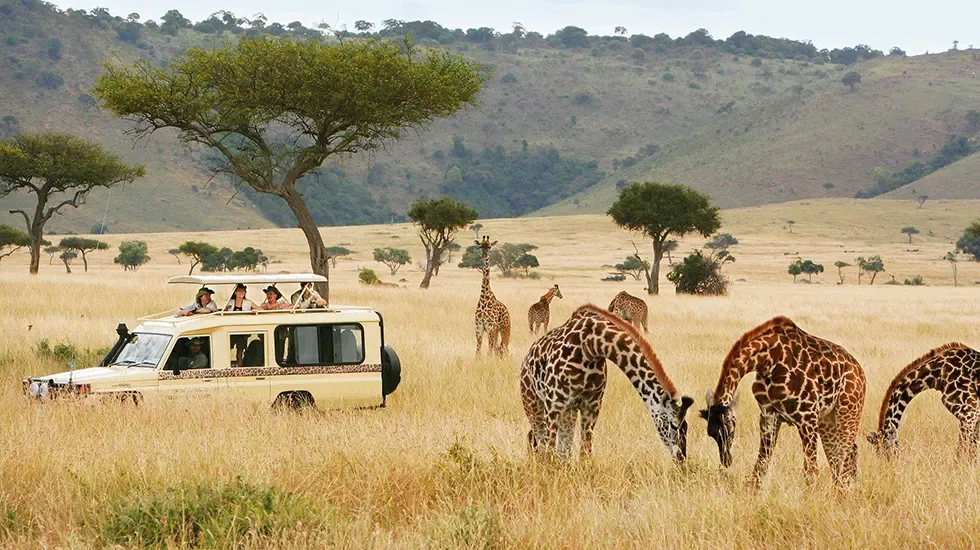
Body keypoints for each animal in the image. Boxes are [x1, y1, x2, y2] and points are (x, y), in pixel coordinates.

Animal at [521, 304, 694, 462]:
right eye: (673, 424)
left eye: (686, 426)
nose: (681, 458)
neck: (591, 345)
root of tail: (526, 359)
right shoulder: (554, 404)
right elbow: (549, 452)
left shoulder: (591, 406)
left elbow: (585, 454)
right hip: (533, 403)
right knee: (540, 443)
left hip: (569, 411)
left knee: (563, 450)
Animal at [700, 316, 866, 490]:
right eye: (711, 434)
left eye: (730, 432)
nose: (726, 460)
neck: (769, 361)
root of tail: (860, 372)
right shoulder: (769, 415)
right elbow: (761, 465)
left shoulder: (807, 416)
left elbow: (811, 471)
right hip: (827, 420)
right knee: (842, 456)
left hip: (847, 412)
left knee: (844, 456)